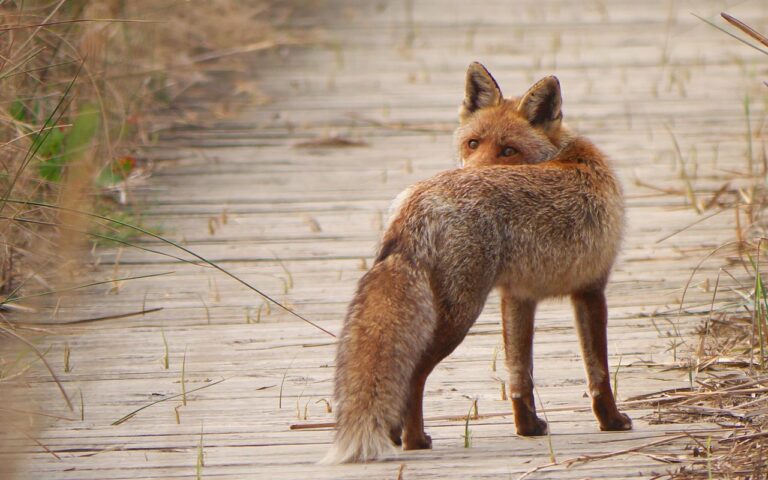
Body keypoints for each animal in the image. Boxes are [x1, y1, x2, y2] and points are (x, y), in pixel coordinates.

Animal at [321, 62, 632, 464]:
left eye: (508, 150)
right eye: (472, 144)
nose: (469, 169)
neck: (566, 153)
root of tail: (418, 201)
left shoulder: (518, 297)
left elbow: (519, 374)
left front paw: (527, 427)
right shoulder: (591, 289)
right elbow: (599, 373)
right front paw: (612, 421)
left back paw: (394, 435)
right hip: (460, 313)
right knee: (414, 375)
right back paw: (415, 440)